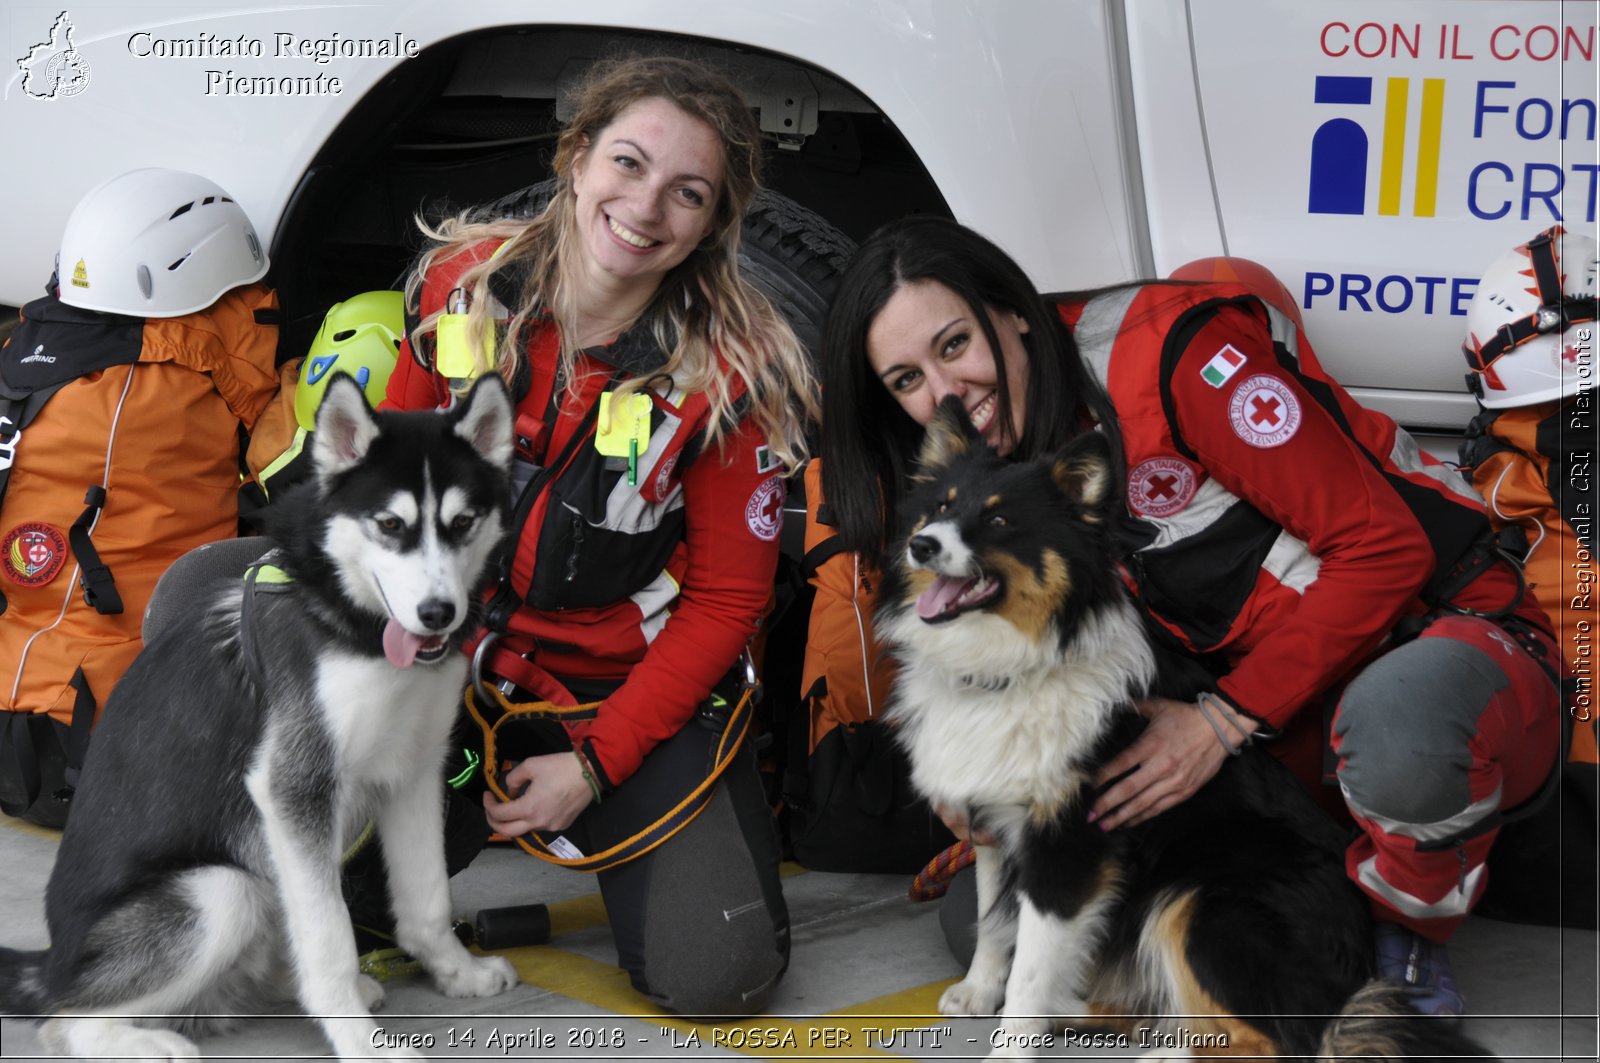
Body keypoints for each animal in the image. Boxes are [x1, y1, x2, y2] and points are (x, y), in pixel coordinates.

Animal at [0, 373, 518, 1056]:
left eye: (462, 523)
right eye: (389, 524)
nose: (439, 614)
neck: (350, 622)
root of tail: (52, 962)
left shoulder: (414, 771)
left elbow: (427, 903)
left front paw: (458, 974)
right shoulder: (294, 787)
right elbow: (329, 937)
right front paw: (356, 1037)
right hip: (221, 890)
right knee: (65, 1019)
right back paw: (150, 1041)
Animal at [876, 393, 1484, 1056]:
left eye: (1000, 521)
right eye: (940, 507)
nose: (920, 545)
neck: (1013, 666)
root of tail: (1358, 965)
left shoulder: (1072, 845)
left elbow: (1031, 971)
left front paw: (1011, 1035)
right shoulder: (993, 816)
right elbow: (993, 921)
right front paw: (979, 990)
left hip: (1204, 901)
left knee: (1273, 1041)